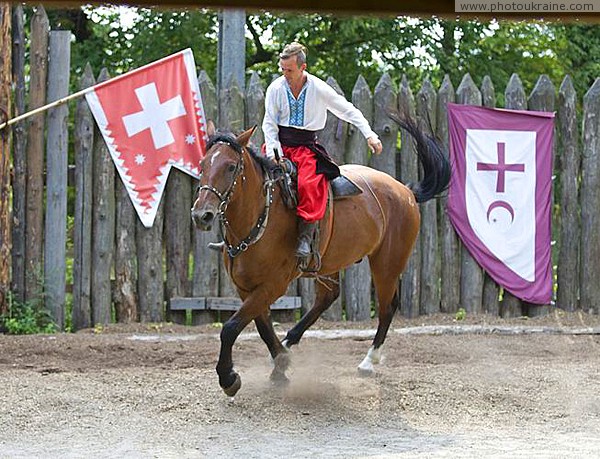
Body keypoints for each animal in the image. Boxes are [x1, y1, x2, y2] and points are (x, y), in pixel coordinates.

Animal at [190, 116, 448, 398]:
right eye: (202, 164)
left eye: (230, 166)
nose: (202, 215)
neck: (260, 216)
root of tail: (406, 191)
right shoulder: (245, 288)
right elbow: (262, 326)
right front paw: (280, 362)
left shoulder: (273, 285)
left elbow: (231, 328)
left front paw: (229, 377)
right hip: (329, 262)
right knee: (328, 297)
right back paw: (289, 342)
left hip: (387, 264)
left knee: (387, 307)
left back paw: (369, 361)